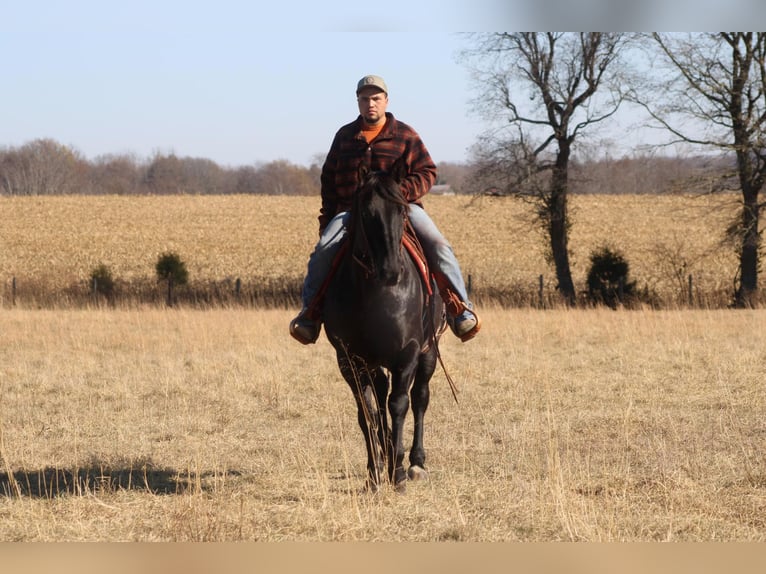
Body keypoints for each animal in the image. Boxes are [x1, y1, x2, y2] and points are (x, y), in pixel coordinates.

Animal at [322, 159, 448, 496]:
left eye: (402, 211)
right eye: (366, 213)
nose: (391, 271)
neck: (374, 293)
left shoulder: (408, 354)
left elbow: (399, 405)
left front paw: (399, 472)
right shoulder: (349, 360)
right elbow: (368, 412)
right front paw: (375, 472)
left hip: (429, 353)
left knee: (419, 398)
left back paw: (415, 463)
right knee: (380, 399)